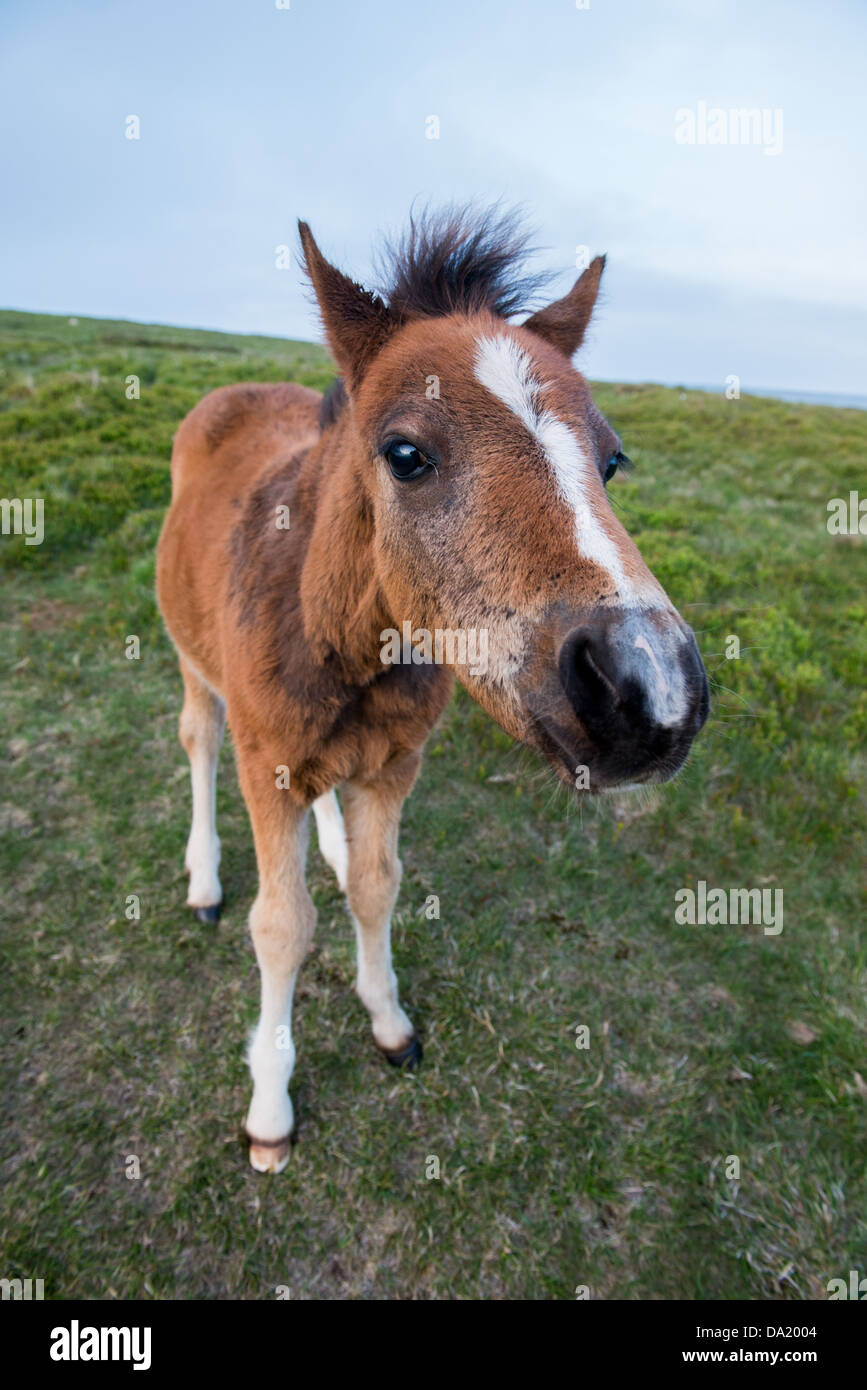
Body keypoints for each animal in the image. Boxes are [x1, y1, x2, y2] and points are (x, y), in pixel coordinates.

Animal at [157, 208, 711, 1173]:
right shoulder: (268, 767)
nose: (650, 691)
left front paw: (388, 1021)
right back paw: (203, 879)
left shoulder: (393, 764)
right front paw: (269, 1111)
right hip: (196, 664)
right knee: (197, 739)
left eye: (611, 461)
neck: (346, 642)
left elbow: (376, 885)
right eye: (405, 454)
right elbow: (281, 926)